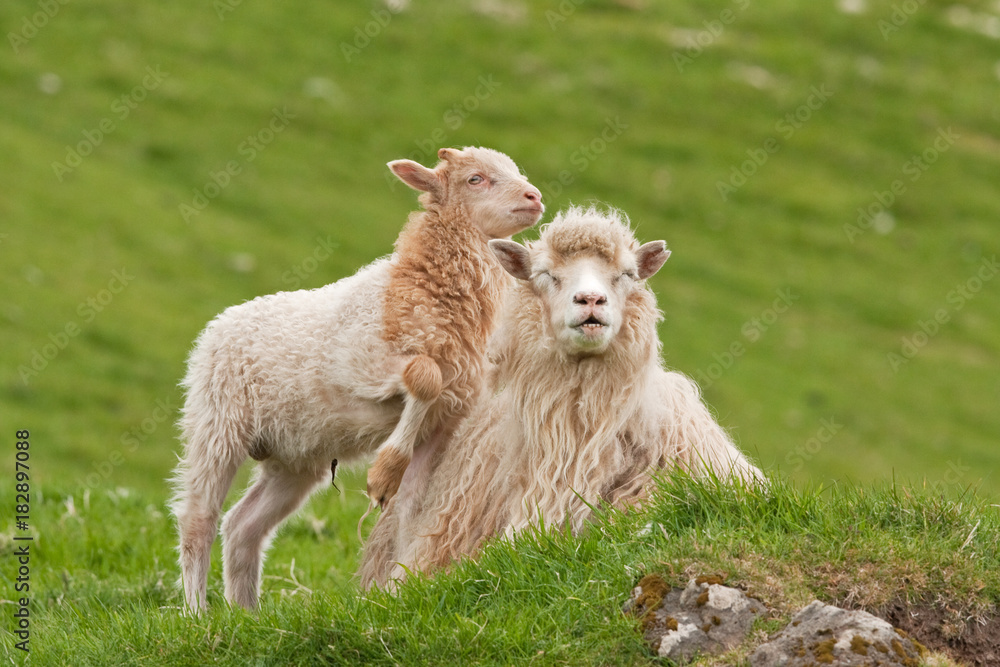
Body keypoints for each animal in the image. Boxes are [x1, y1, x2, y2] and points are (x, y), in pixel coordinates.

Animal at [174, 146, 548, 612]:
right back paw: (197, 612)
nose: (534, 197)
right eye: (475, 179)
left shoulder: (443, 423)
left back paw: (246, 613)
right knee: (197, 520)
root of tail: (216, 326)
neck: (418, 288)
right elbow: (424, 378)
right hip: (216, 423)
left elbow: (408, 509)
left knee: (243, 525)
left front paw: (397, 581)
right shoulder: (361, 363)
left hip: (294, 456)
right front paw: (384, 472)